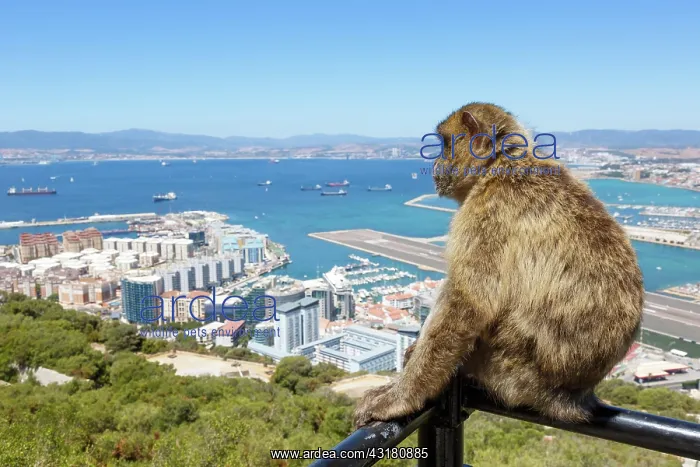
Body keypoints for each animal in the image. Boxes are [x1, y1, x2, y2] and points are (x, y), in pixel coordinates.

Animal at [353, 102, 644, 428]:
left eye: (444, 144)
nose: (437, 162)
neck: (498, 163)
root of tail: (572, 399)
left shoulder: (487, 214)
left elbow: (469, 303)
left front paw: (401, 398)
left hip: (510, 371)